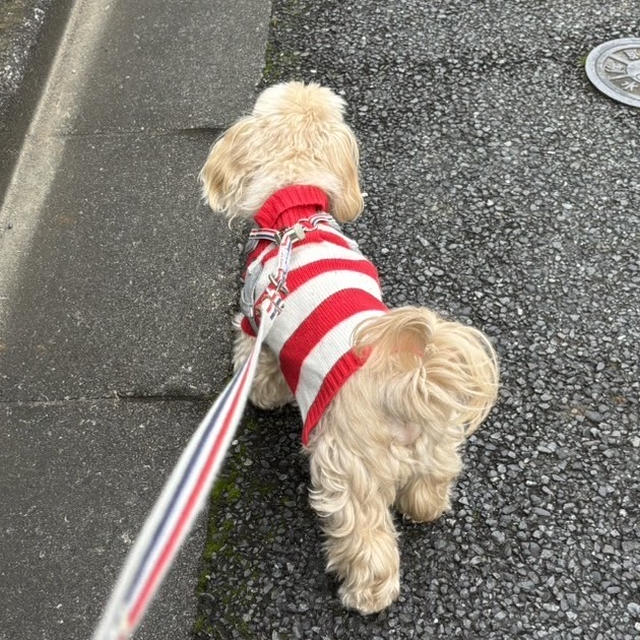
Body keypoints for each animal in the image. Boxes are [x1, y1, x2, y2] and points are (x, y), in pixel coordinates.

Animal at [200, 81, 500, 616]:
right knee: (432, 481)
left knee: (366, 535)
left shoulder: (257, 322)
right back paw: (425, 507)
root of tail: (403, 380)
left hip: (349, 469)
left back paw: (366, 594)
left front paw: (262, 397)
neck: (294, 215)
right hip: (436, 443)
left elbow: (262, 369)